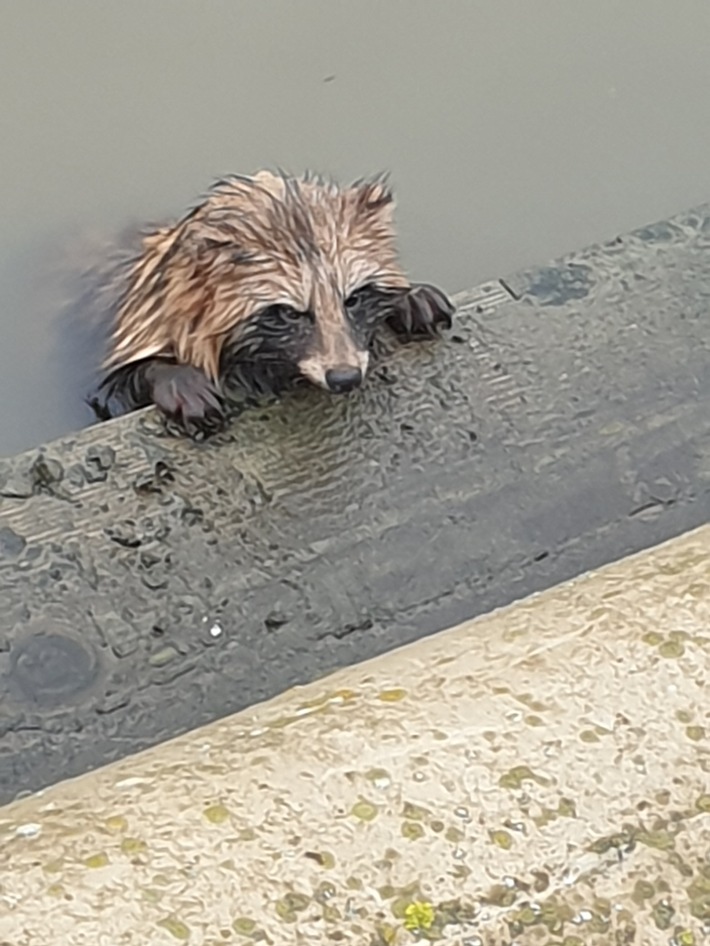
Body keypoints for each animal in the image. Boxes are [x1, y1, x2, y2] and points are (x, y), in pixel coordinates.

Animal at [90, 170, 456, 436]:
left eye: (353, 298)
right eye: (291, 312)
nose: (345, 377)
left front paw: (409, 297)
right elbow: (111, 395)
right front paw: (174, 376)